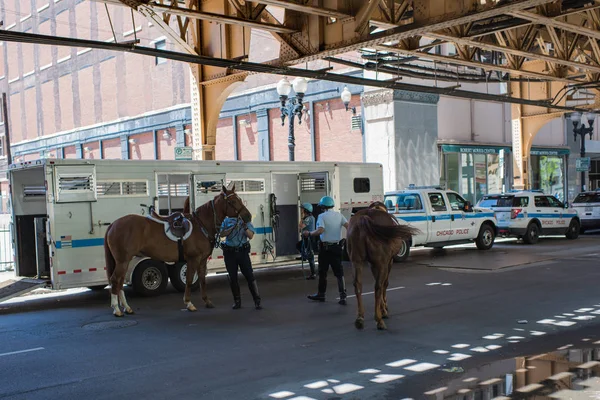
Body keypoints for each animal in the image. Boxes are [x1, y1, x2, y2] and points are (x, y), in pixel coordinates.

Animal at [105, 184, 251, 316]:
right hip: (123, 260)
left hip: (124, 261)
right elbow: (189, 280)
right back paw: (117, 309)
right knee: (115, 280)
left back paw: (127, 307)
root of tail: (113, 224)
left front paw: (207, 301)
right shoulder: (193, 259)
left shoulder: (202, 260)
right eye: (233, 201)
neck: (201, 225)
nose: (248, 216)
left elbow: (202, 280)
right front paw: (189, 303)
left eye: (239, 199)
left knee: (120, 282)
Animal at [344, 202, 420, 330]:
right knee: (378, 287)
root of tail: (365, 218)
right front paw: (383, 308)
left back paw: (360, 318)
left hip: (356, 261)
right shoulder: (387, 262)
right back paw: (379, 319)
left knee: (358, 285)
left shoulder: (372, 264)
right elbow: (385, 284)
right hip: (382, 263)